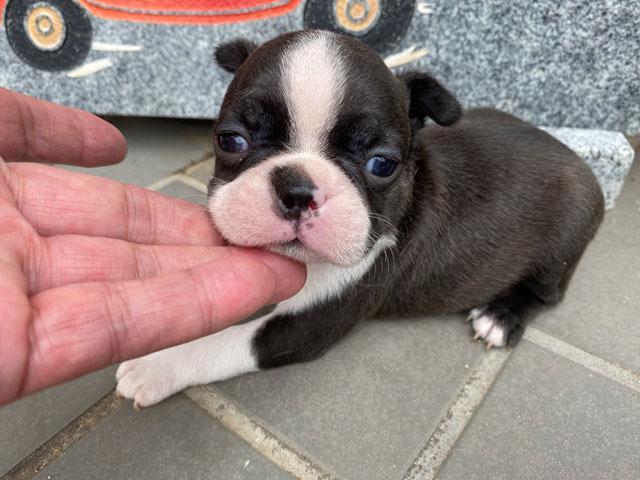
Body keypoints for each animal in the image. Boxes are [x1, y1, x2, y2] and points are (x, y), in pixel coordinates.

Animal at [116, 30, 604, 408]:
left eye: (382, 165)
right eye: (230, 140)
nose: (297, 189)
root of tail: (580, 164)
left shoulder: (308, 324)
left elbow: (221, 344)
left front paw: (156, 364)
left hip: (563, 244)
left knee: (546, 294)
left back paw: (500, 317)